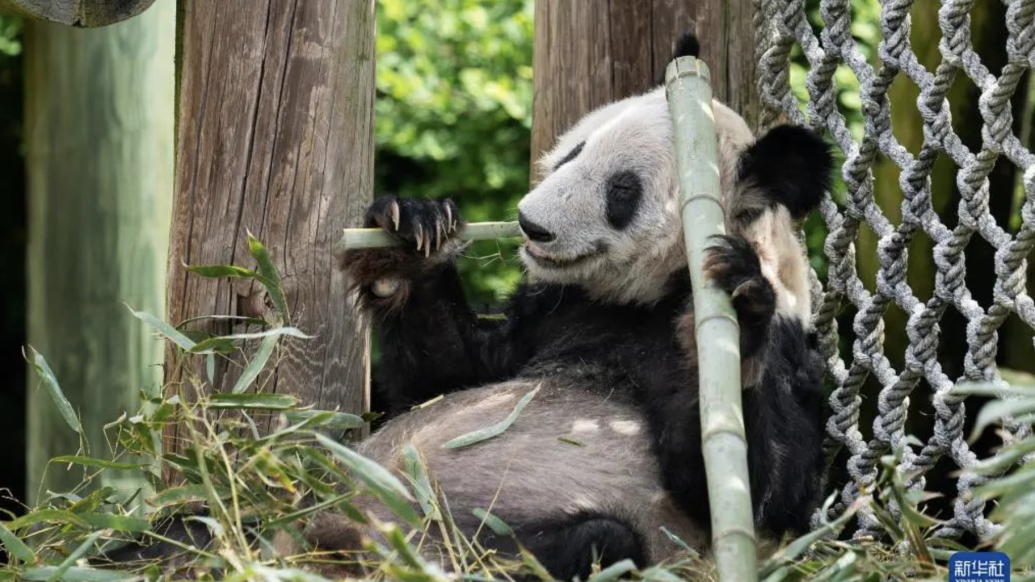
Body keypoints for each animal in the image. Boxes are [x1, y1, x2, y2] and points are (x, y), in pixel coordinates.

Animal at [312, 37, 832, 579]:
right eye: (576, 152)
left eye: (622, 190)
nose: (531, 225)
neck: (648, 296)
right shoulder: (556, 310)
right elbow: (444, 379)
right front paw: (410, 234)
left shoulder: (788, 349)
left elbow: (764, 491)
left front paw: (742, 306)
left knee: (598, 541)